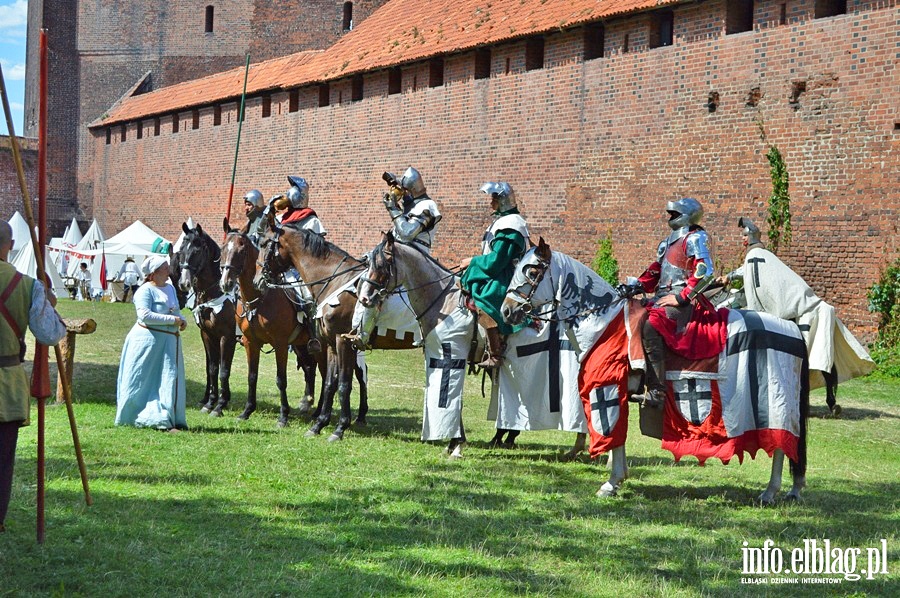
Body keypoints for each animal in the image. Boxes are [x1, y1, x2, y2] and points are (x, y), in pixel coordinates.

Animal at [176, 221, 237, 418]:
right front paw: (210, 402)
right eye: (181, 250)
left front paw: (220, 405)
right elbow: (211, 368)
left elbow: (224, 370)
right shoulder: (208, 335)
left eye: (197, 250)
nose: (183, 283)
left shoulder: (227, 338)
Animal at [220, 219, 322, 426]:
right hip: (301, 345)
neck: (260, 298)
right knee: (309, 368)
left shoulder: (280, 344)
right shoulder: (250, 342)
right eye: (223, 247)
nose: (226, 283)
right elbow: (252, 376)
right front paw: (247, 411)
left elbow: (281, 380)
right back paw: (307, 403)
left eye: (242, 249)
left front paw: (283, 416)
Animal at [253, 218, 414, 442]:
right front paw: (319, 424)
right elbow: (330, 382)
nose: (257, 280)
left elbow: (343, 384)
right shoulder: (330, 344)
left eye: (263, 244)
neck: (334, 281)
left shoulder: (343, 341)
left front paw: (340, 428)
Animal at [500, 239, 808, 506]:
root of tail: (791, 328)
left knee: (781, 445)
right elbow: (619, 439)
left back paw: (770, 492)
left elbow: (613, 434)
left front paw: (610, 483)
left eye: (533, 271)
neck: (602, 322)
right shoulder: (618, 393)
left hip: (775, 404)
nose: (507, 311)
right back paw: (790, 490)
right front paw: (619, 478)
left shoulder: (607, 389)